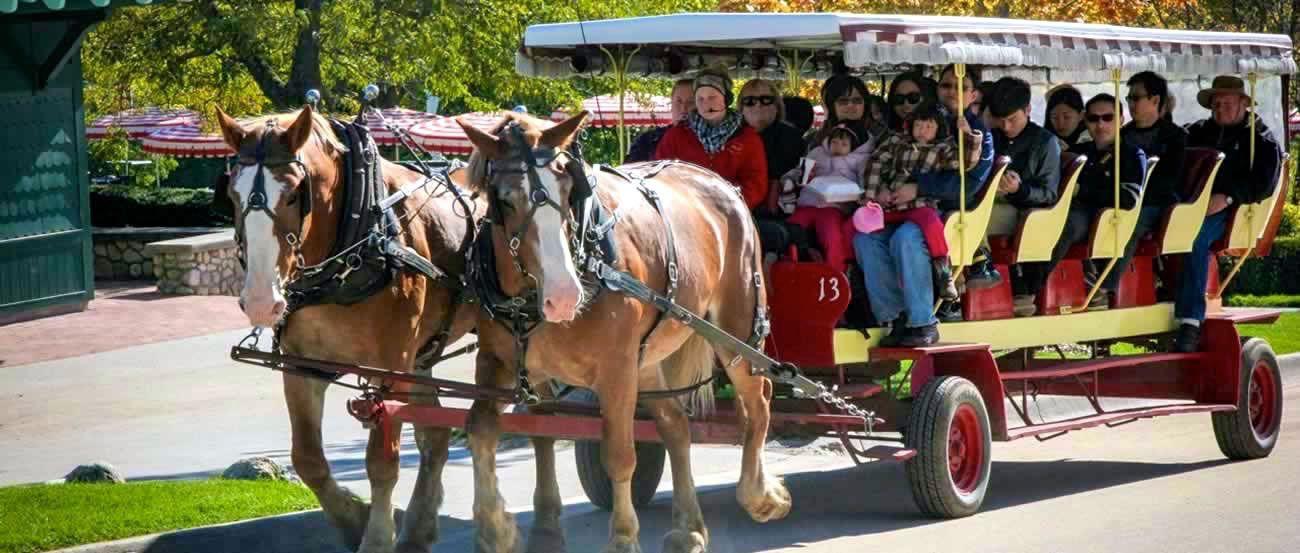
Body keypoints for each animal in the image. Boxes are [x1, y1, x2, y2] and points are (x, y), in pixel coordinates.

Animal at [215, 104, 486, 551]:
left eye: (294, 193)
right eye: (232, 195)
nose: (259, 300)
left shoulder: (391, 366)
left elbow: (382, 461)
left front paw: (375, 536)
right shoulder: (302, 366)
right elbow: (307, 459)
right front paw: (352, 520)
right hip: (421, 356)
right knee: (435, 435)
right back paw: (419, 526)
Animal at [457, 111, 790, 551]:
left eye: (568, 190)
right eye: (506, 200)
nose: (564, 296)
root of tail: (716, 180)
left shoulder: (616, 370)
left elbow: (618, 455)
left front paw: (623, 537)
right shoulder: (501, 362)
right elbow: (490, 431)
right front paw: (502, 528)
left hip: (736, 328)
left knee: (759, 399)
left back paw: (759, 494)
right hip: (646, 360)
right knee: (675, 425)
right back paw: (689, 527)